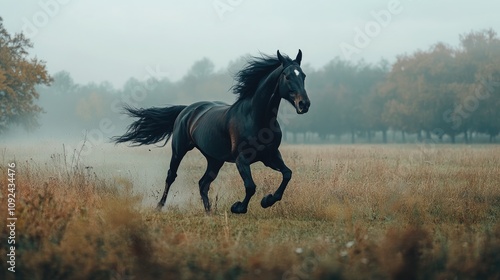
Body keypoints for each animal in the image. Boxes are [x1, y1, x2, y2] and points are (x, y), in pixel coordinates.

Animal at [113, 49, 308, 213]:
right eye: (287, 76)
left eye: (304, 75)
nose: (304, 104)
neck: (256, 118)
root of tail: (187, 109)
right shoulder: (242, 159)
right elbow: (251, 186)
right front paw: (238, 207)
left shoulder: (270, 156)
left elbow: (287, 174)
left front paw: (267, 200)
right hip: (179, 150)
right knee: (171, 176)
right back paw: (159, 206)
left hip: (215, 160)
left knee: (203, 183)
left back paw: (209, 212)